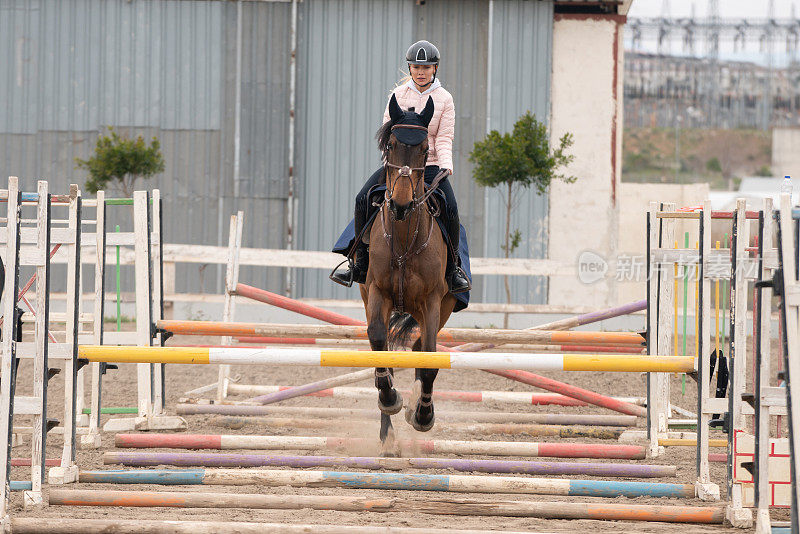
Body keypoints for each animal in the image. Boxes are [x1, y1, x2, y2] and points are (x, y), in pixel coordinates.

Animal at [360, 94, 456, 450]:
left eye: (425, 150)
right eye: (390, 144)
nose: (401, 205)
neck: (402, 241)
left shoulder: (432, 302)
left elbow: (429, 361)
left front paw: (423, 415)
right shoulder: (377, 292)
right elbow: (377, 341)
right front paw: (390, 399)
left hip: (441, 309)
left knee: (418, 351)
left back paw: (416, 403)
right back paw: (387, 434)